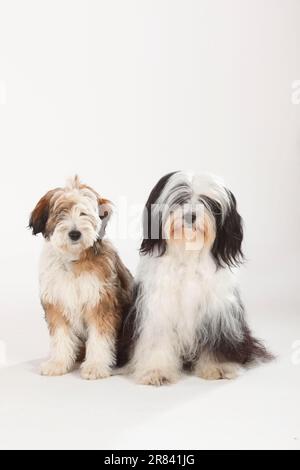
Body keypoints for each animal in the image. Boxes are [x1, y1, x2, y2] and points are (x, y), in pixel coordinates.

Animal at [29, 176, 132, 378]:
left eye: (84, 213)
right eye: (61, 213)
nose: (75, 233)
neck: (73, 259)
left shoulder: (101, 302)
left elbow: (99, 338)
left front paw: (96, 366)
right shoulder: (56, 302)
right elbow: (61, 336)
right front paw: (58, 363)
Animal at [119, 171, 272, 384]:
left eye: (208, 202)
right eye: (180, 199)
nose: (190, 216)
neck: (188, 253)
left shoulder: (217, 311)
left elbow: (216, 341)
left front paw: (218, 367)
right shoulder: (158, 308)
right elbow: (157, 340)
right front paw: (156, 371)